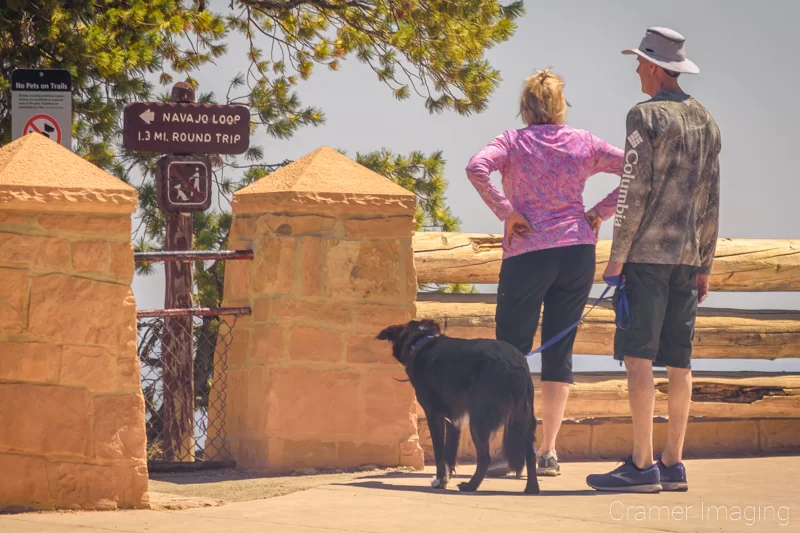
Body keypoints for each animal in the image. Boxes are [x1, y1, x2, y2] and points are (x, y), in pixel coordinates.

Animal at [378, 318, 540, 492]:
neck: (421, 340)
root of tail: (515, 362)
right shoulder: (454, 419)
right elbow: (450, 451)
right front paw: (444, 479)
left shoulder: (434, 414)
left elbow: (439, 452)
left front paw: (440, 480)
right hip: (524, 418)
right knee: (531, 454)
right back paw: (532, 488)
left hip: (479, 420)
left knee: (485, 457)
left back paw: (471, 485)